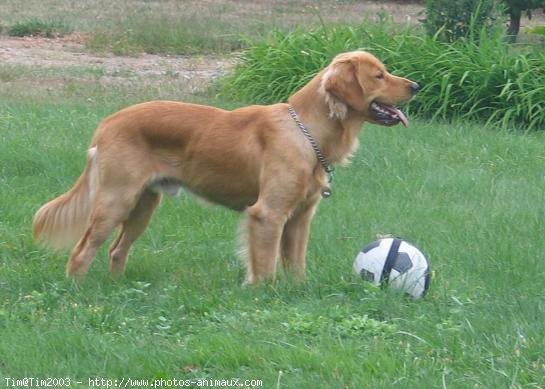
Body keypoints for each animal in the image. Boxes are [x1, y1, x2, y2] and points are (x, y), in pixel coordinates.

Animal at [33, 50, 416, 282]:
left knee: (116, 250)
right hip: (116, 200)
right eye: (379, 75)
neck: (305, 131)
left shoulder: (300, 217)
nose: (416, 84)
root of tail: (107, 123)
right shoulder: (268, 214)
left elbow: (295, 264)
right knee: (82, 251)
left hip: (144, 205)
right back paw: (79, 290)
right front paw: (263, 294)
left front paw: (298, 289)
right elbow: (265, 267)